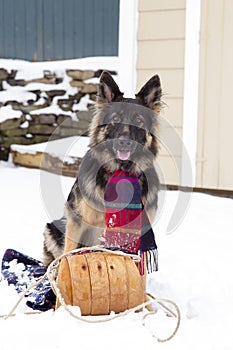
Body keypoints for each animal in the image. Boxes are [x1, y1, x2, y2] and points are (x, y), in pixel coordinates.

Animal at [42, 72, 161, 266]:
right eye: (115, 119)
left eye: (138, 120)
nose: (124, 142)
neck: (120, 170)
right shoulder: (76, 222)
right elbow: (67, 254)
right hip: (52, 228)